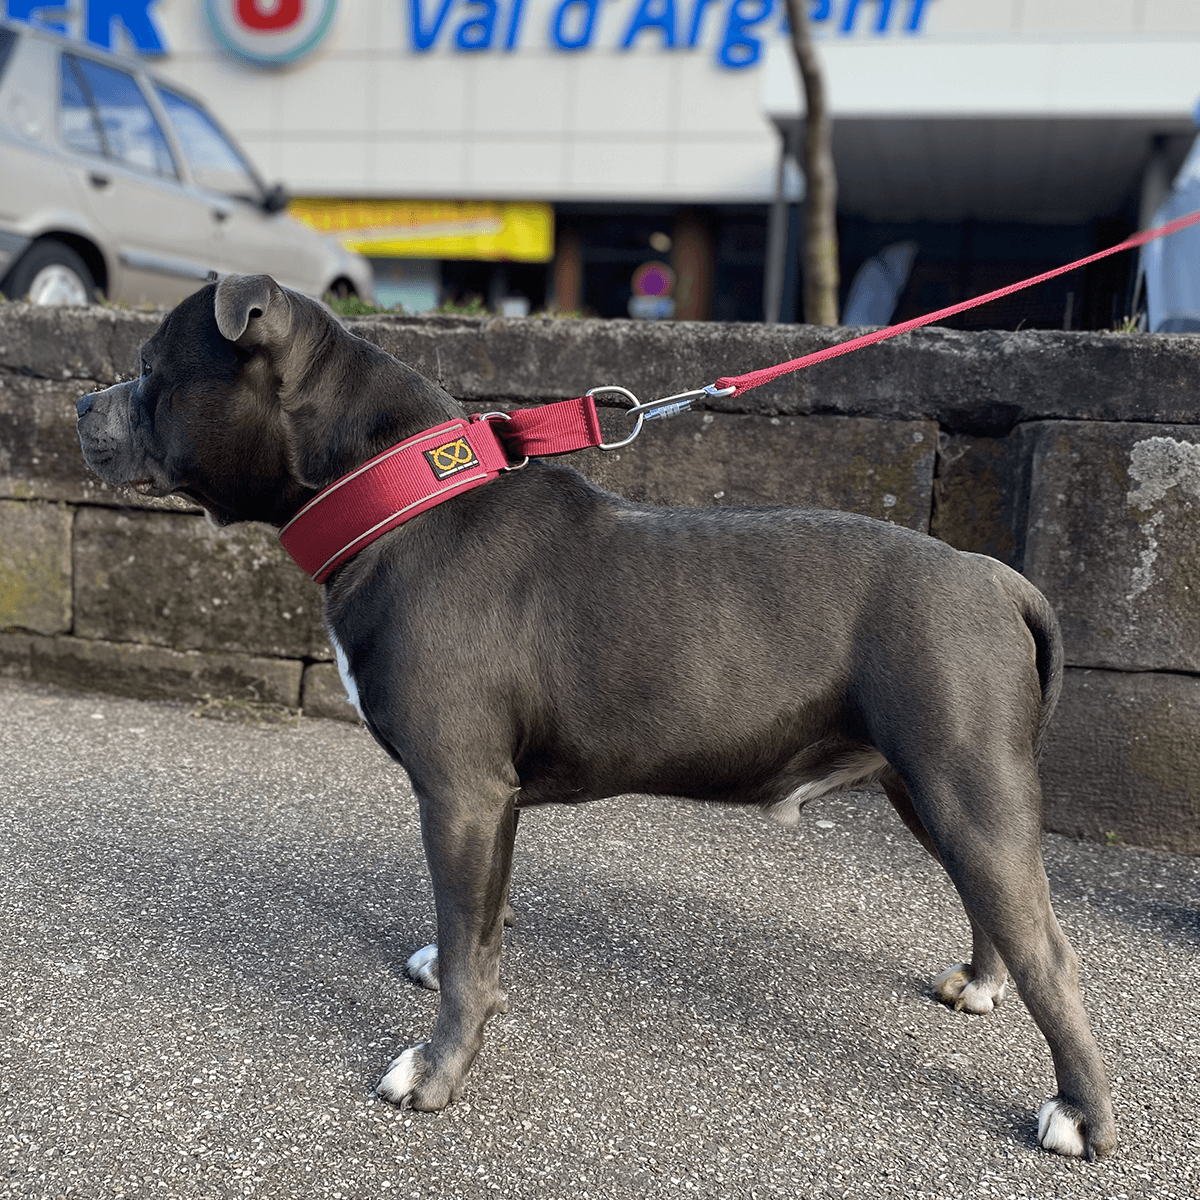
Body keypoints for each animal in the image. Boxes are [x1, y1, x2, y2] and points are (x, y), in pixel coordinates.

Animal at [77, 276, 1113, 1156]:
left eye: (150, 368)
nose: (83, 405)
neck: (399, 498)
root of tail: (996, 575)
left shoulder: (461, 792)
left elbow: (471, 959)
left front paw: (437, 1072)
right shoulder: (485, 807)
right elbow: (476, 929)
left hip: (964, 787)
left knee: (1055, 958)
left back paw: (1081, 1116)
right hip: (933, 791)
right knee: (992, 907)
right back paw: (983, 983)